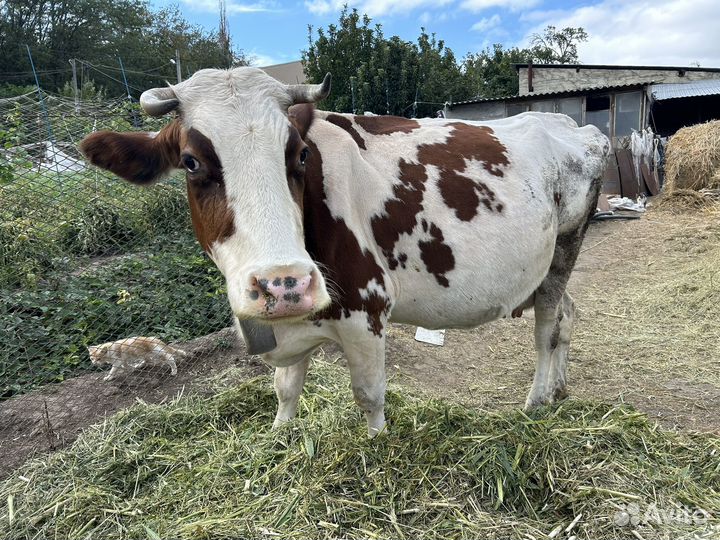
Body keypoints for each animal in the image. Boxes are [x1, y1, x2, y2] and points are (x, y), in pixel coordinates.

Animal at [80, 67, 610, 437]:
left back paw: (537, 402)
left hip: (565, 247)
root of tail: (568, 122)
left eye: (299, 154)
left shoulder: (367, 310)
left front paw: (377, 446)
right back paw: (559, 390)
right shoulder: (288, 324)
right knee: (568, 313)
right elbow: (285, 390)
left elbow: (370, 396)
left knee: (547, 327)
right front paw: (279, 437)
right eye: (190, 162)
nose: (283, 284)